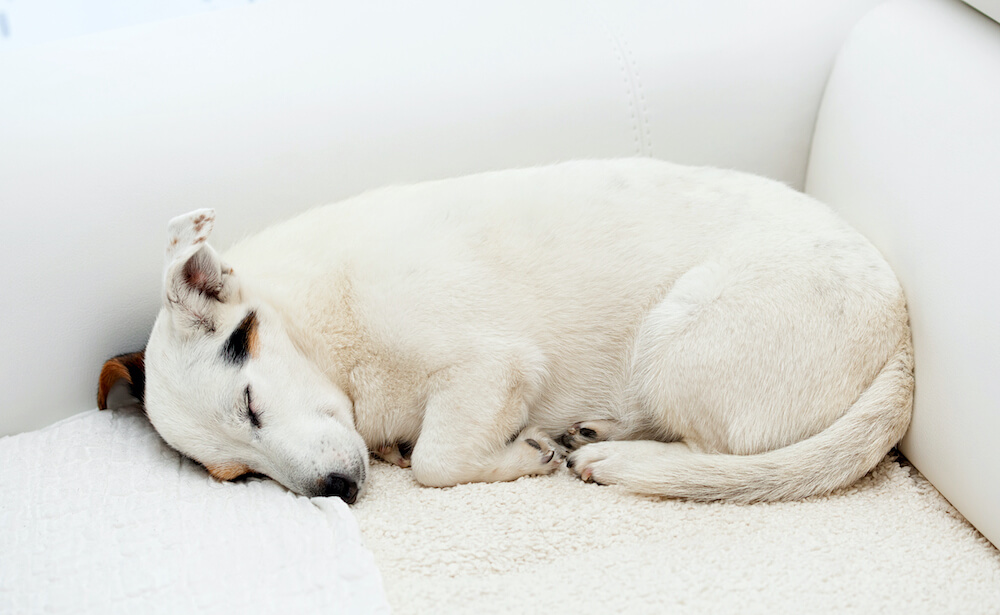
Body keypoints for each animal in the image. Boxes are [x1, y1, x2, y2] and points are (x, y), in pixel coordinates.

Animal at [99, 160, 916, 506]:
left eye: (250, 405)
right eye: (236, 476)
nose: (338, 493)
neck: (323, 321)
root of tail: (905, 336)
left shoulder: (491, 364)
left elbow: (438, 460)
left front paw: (519, 455)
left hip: (673, 336)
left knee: (712, 452)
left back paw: (615, 454)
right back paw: (597, 431)